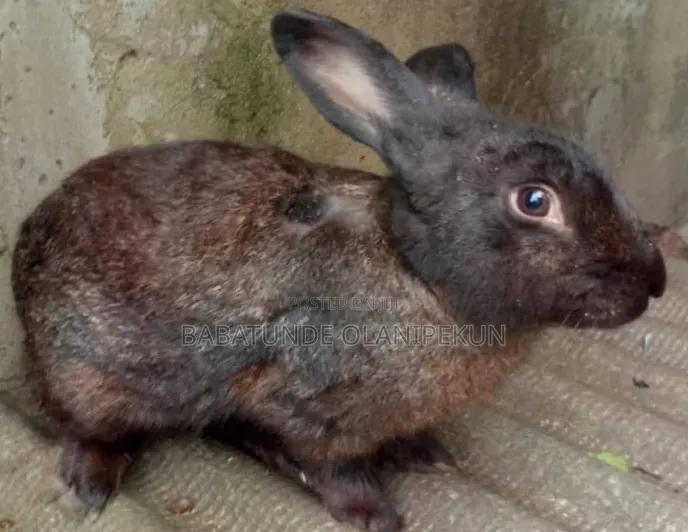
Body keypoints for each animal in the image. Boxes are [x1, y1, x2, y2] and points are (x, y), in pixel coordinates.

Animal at [10, 8, 666, 532]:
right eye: (534, 201)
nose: (653, 283)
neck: (416, 274)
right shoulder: (306, 405)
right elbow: (332, 467)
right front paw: (376, 515)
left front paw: (426, 454)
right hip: (90, 377)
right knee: (87, 424)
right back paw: (89, 483)